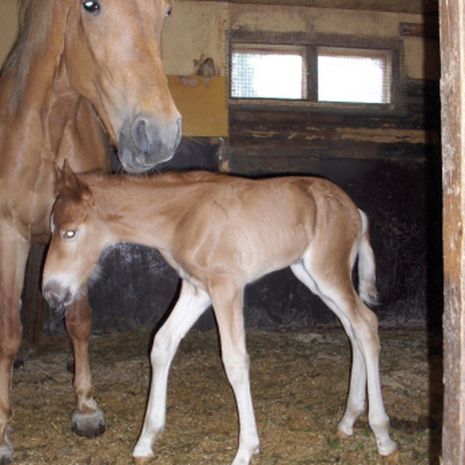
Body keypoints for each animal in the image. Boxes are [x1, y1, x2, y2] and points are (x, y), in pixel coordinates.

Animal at [0, 1, 181, 463]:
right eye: (90, 5)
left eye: (167, 11)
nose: (159, 136)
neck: (47, 127)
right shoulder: (9, 234)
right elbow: (7, 331)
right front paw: (2, 430)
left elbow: (79, 320)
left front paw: (85, 408)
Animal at [42, 163, 400, 465]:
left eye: (70, 232)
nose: (50, 292)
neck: (183, 218)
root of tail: (355, 210)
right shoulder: (196, 288)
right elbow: (162, 344)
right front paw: (145, 441)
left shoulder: (227, 287)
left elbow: (235, 360)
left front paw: (246, 450)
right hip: (310, 274)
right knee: (352, 328)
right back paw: (348, 420)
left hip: (327, 270)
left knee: (365, 323)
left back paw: (382, 435)